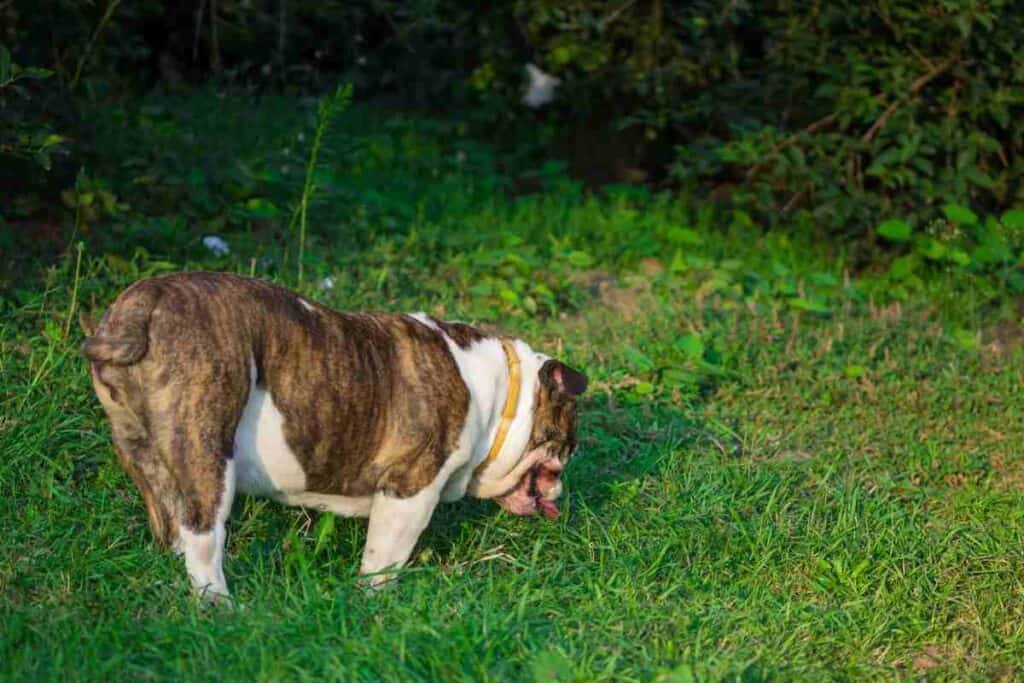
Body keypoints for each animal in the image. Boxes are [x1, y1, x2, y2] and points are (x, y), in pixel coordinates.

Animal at [83, 270, 589, 602]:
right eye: (570, 441)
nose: (563, 487)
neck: (502, 395)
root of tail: (147, 299)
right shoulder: (410, 488)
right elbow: (385, 555)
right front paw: (376, 601)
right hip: (207, 444)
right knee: (204, 535)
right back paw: (221, 607)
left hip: (139, 445)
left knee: (169, 515)